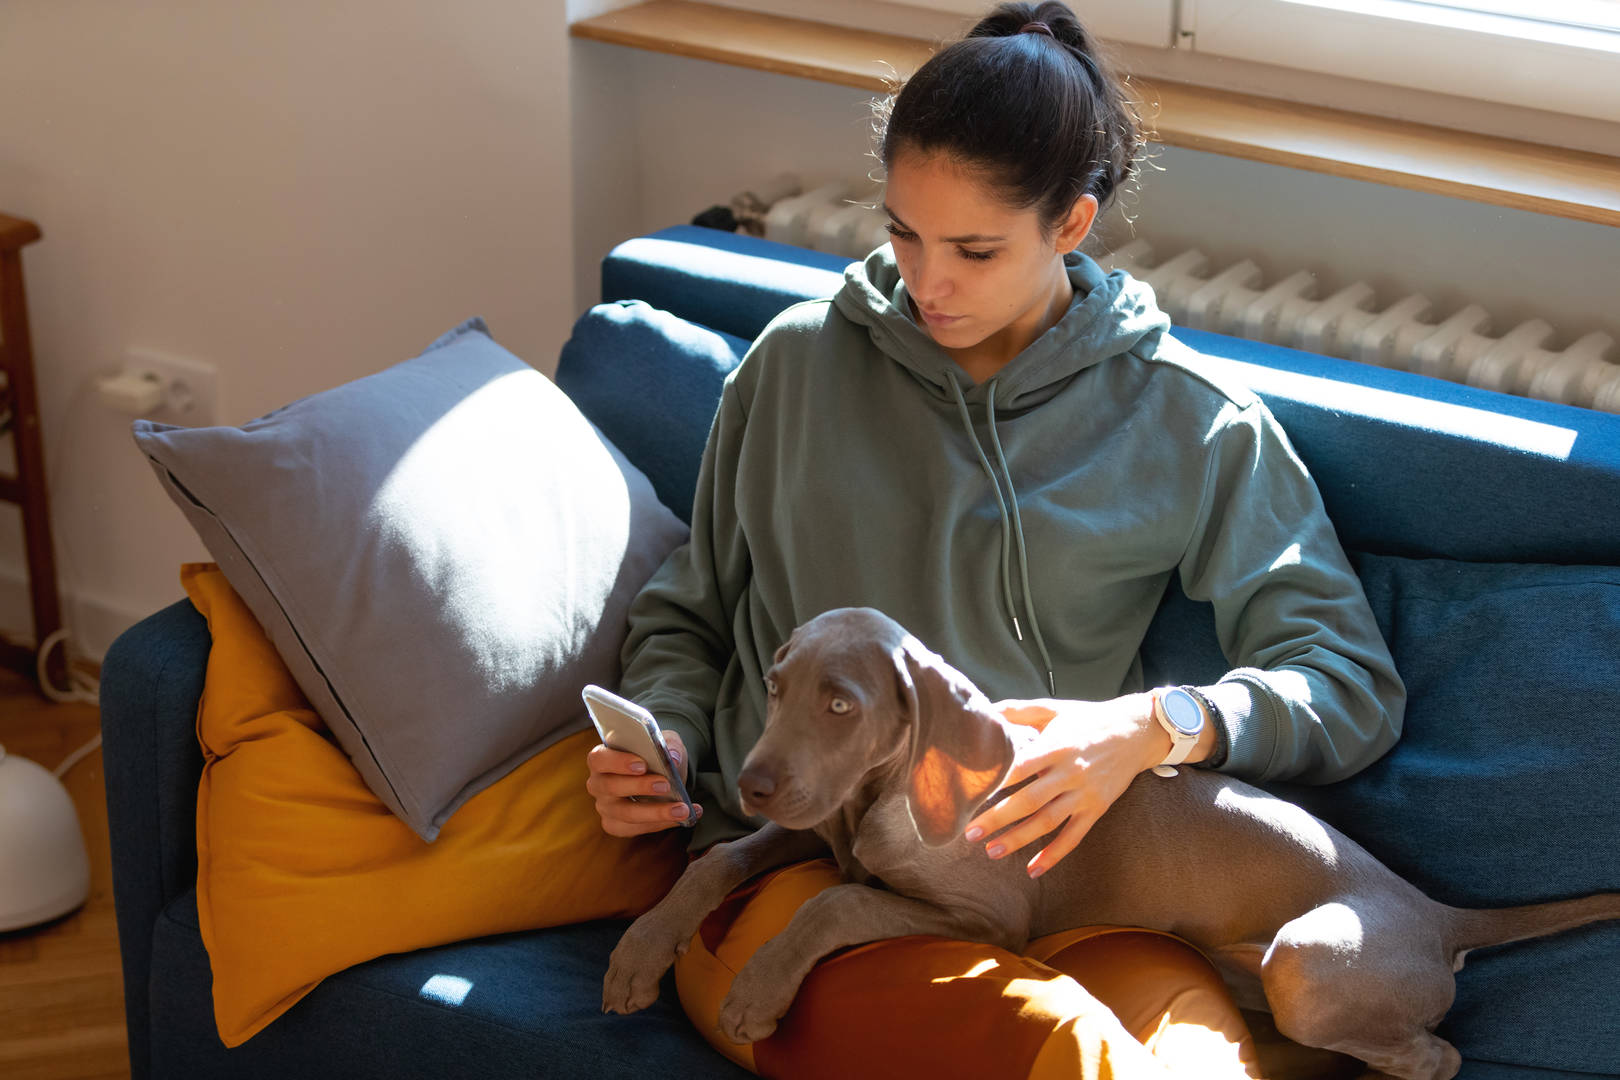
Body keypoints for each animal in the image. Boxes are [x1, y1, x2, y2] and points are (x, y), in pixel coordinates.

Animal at [605, 608, 1620, 1080]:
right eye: (776, 688)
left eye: (841, 704)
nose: (748, 783)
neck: (874, 802)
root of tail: (1433, 911)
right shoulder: (814, 825)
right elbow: (723, 861)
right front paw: (640, 950)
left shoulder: (988, 919)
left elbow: (834, 899)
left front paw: (757, 991)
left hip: (1306, 964)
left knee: (1436, 1056)